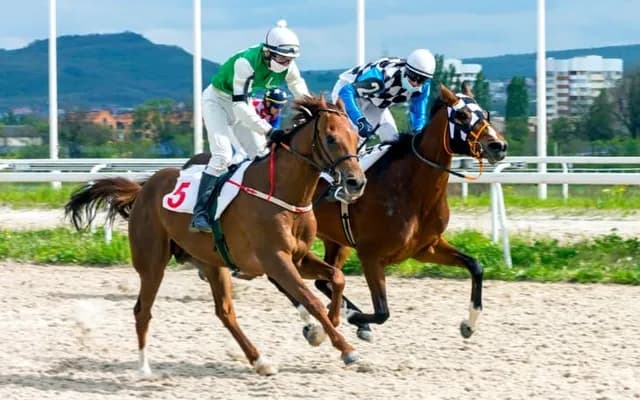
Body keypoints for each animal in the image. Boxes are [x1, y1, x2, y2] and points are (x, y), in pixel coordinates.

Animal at [64, 95, 367, 376]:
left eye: (355, 136)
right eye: (331, 138)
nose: (357, 182)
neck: (282, 193)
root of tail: (143, 188)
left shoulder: (298, 257)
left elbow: (336, 278)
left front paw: (329, 324)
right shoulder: (275, 260)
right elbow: (311, 299)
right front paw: (347, 349)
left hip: (212, 262)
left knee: (224, 312)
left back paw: (260, 361)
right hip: (152, 263)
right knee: (143, 310)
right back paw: (144, 368)